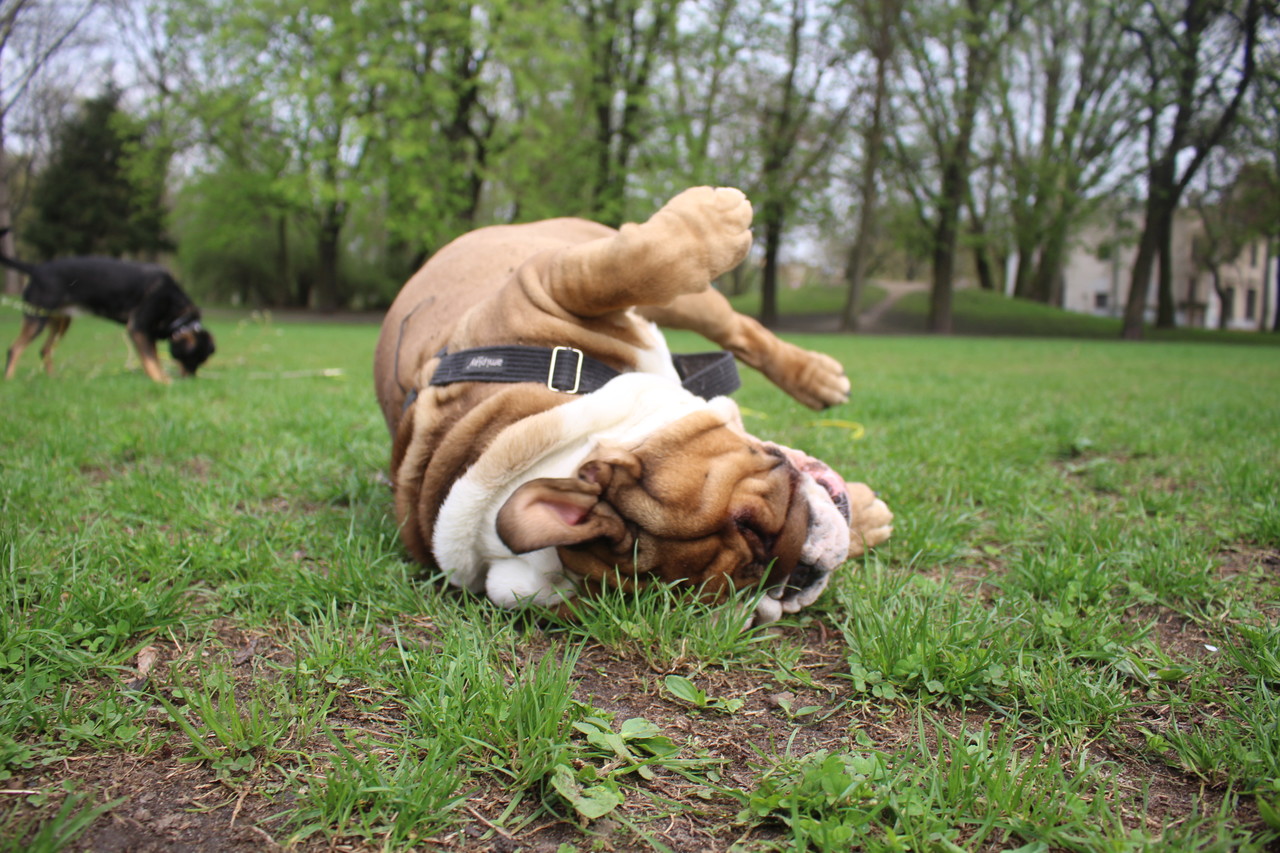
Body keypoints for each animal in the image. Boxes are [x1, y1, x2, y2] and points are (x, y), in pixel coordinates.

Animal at [1, 233, 215, 383]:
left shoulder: (147, 332)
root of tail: (36, 269)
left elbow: (154, 358)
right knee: (15, 349)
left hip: (60, 321)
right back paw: (9, 379)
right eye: (193, 359)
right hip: (36, 317)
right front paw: (162, 381)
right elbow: (150, 360)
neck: (177, 311)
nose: (190, 379)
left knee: (45, 349)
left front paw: (162, 377)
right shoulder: (138, 327)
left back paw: (52, 377)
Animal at [373, 187, 891, 624]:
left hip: (676, 295)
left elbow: (635, 265)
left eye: (751, 525)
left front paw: (718, 214)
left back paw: (818, 378)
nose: (798, 575)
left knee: (734, 326)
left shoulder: (544, 284)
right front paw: (866, 519)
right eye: (746, 609)